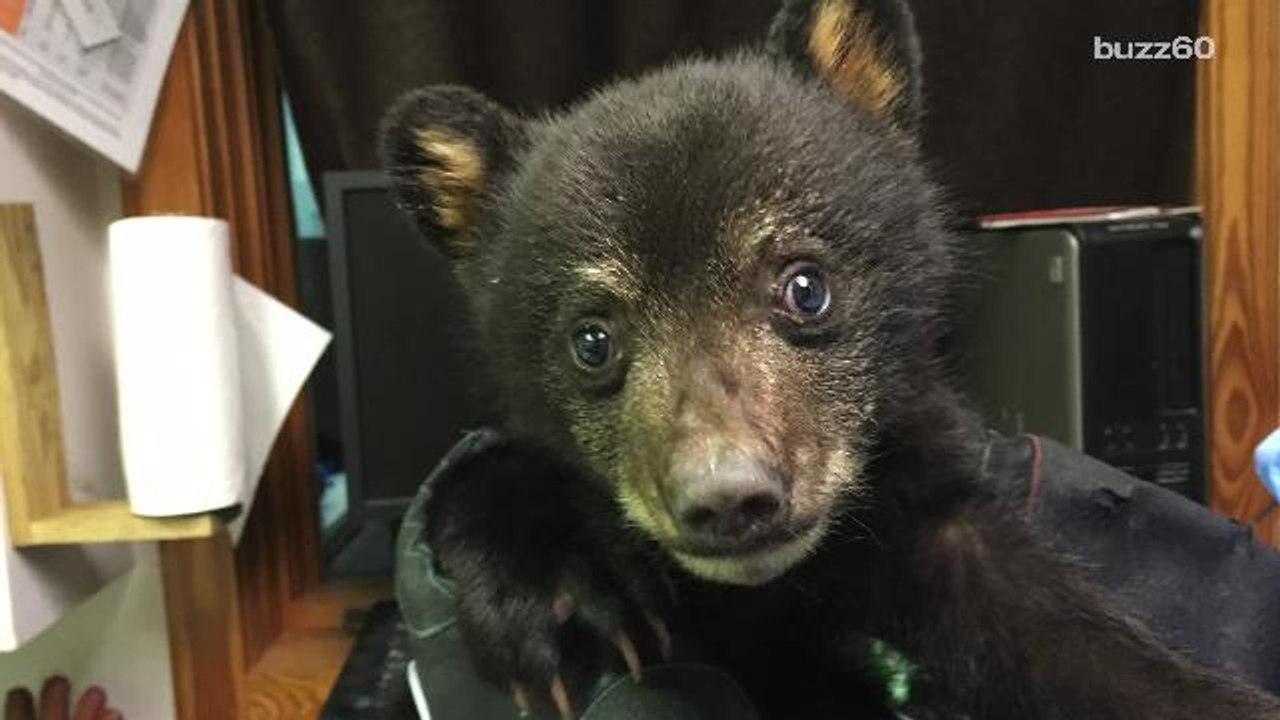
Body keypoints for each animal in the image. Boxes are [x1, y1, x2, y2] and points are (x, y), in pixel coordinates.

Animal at [380, 0, 1280, 717]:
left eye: (805, 287)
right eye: (592, 339)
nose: (729, 497)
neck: (794, 585)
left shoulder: (929, 506)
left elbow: (1069, 640)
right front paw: (553, 584)